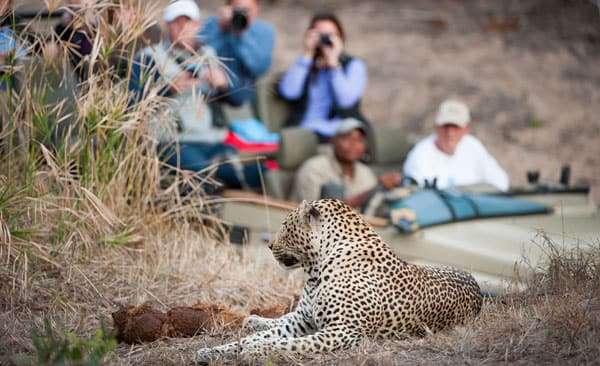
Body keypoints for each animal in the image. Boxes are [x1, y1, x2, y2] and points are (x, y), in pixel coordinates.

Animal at [196, 200, 482, 364]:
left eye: (285, 226)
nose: (269, 245)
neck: (315, 270)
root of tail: (478, 286)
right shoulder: (303, 321)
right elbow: (263, 335)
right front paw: (210, 352)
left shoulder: (344, 330)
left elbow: (289, 343)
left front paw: (256, 350)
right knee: (276, 319)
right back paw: (254, 320)